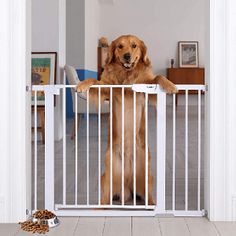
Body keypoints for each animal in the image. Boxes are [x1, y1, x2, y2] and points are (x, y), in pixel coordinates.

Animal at [76, 34, 177, 205]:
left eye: (134, 45)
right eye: (120, 46)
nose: (127, 56)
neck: (126, 75)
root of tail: (127, 186)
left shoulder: (146, 87)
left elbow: (159, 76)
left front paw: (170, 85)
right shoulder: (106, 89)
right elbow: (94, 80)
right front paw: (82, 84)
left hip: (147, 173)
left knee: (148, 195)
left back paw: (152, 204)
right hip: (108, 172)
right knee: (105, 196)